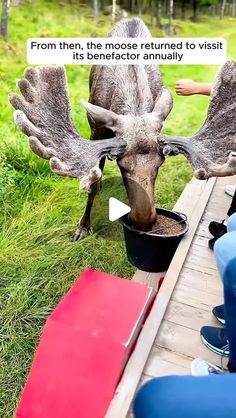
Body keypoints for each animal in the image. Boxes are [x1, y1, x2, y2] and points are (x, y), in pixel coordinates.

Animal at [9, 18, 236, 242]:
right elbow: (92, 181)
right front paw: (83, 227)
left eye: (159, 165)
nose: (144, 221)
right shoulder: (96, 131)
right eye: (122, 165)